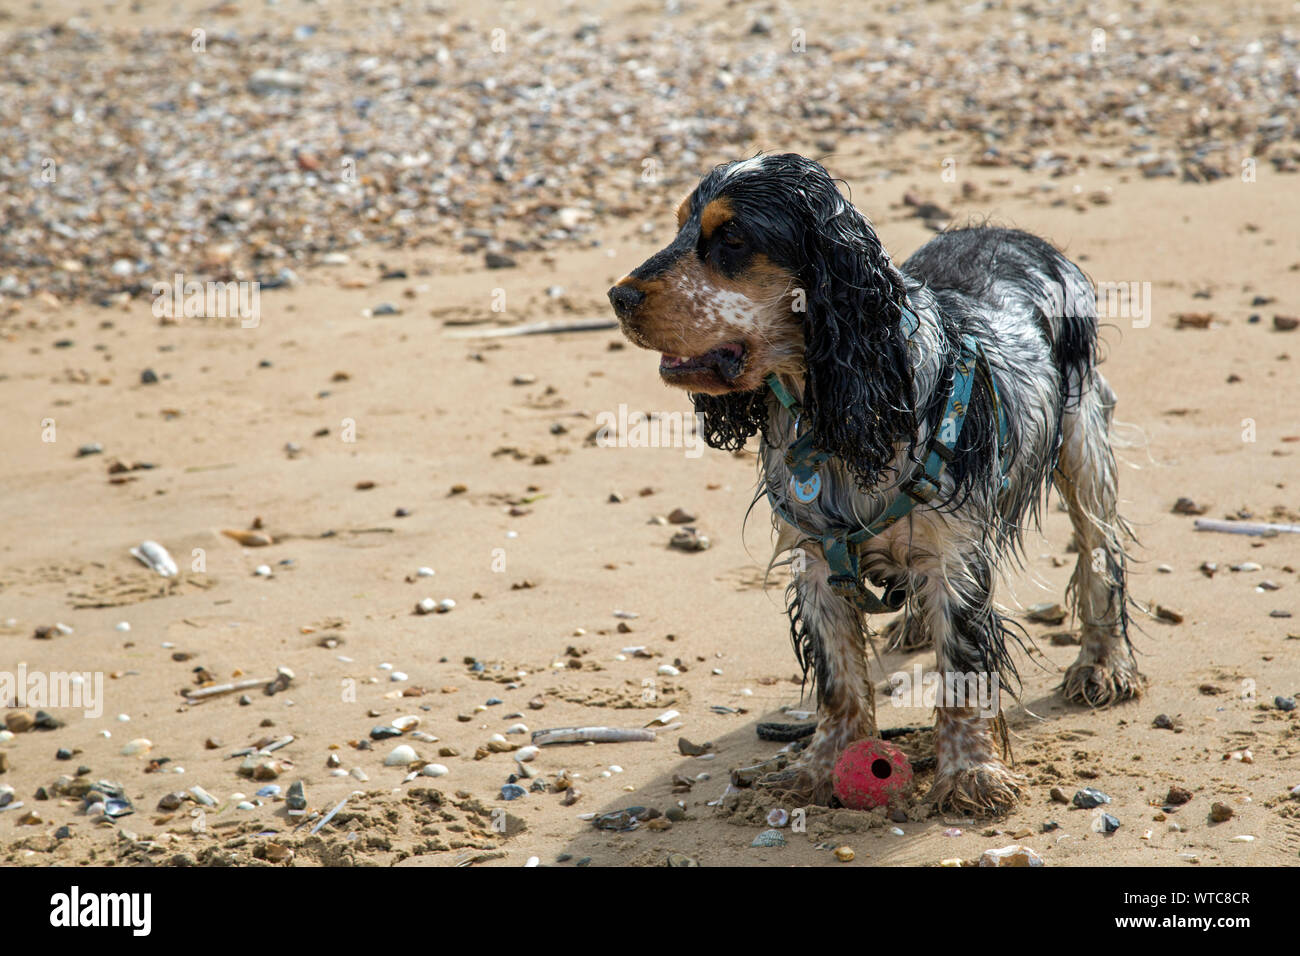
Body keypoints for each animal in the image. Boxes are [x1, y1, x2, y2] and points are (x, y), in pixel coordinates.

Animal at [605, 157, 1138, 816]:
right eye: (680, 224)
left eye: (732, 238)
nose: (618, 296)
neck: (839, 409)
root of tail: (1021, 237)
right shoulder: (816, 560)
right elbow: (839, 680)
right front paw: (820, 766)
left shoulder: (953, 557)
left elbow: (961, 672)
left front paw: (970, 775)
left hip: (1082, 440)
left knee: (1101, 553)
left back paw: (1103, 665)